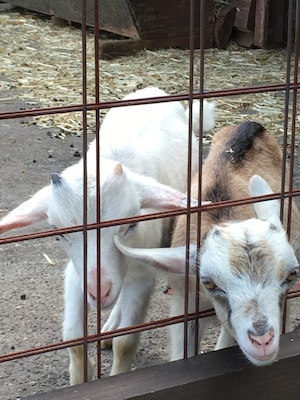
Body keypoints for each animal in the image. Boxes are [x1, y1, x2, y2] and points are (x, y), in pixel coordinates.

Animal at [0, 86, 216, 384]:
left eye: (131, 224)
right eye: (58, 232)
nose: (99, 291)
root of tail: (154, 90)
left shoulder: (141, 274)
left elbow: (126, 342)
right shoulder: (76, 273)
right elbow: (74, 339)